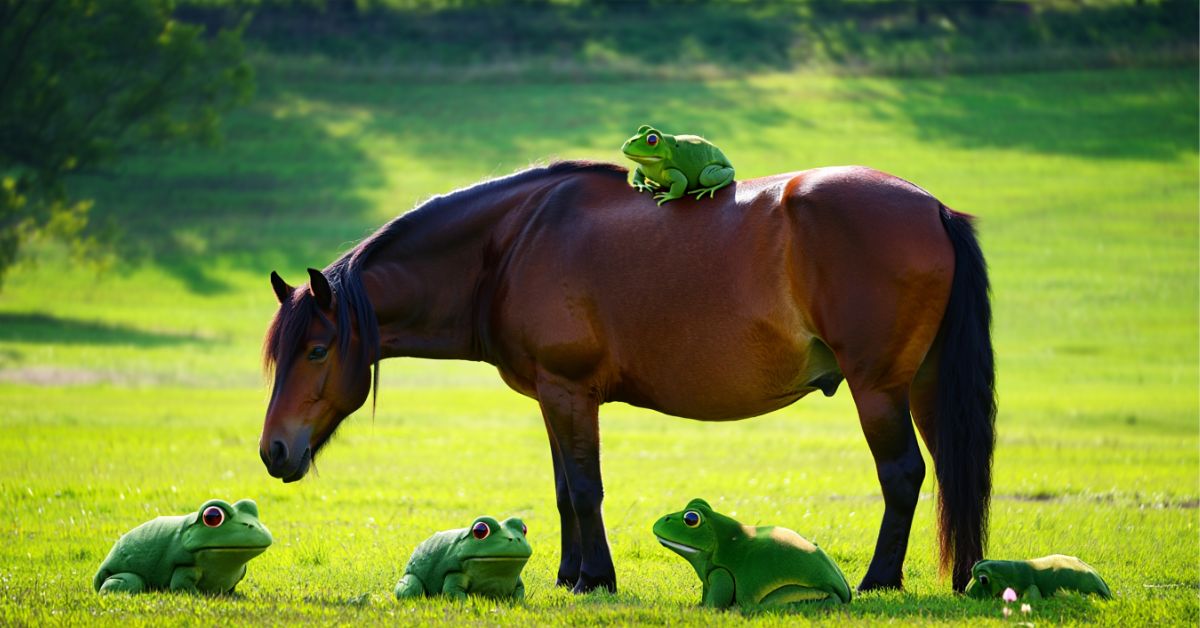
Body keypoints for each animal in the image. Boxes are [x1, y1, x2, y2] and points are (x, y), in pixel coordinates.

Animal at [260, 160, 995, 593]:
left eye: (317, 350)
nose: (274, 451)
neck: (510, 245)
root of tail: (933, 207)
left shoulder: (570, 392)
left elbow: (586, 489)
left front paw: (597, 578)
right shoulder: (552, 396)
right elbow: (563, 491)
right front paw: (568, 576)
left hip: (879, 389)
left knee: (903, 476)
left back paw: (878, 581)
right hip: (924, 386)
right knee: (953, 472)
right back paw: (966, 579)